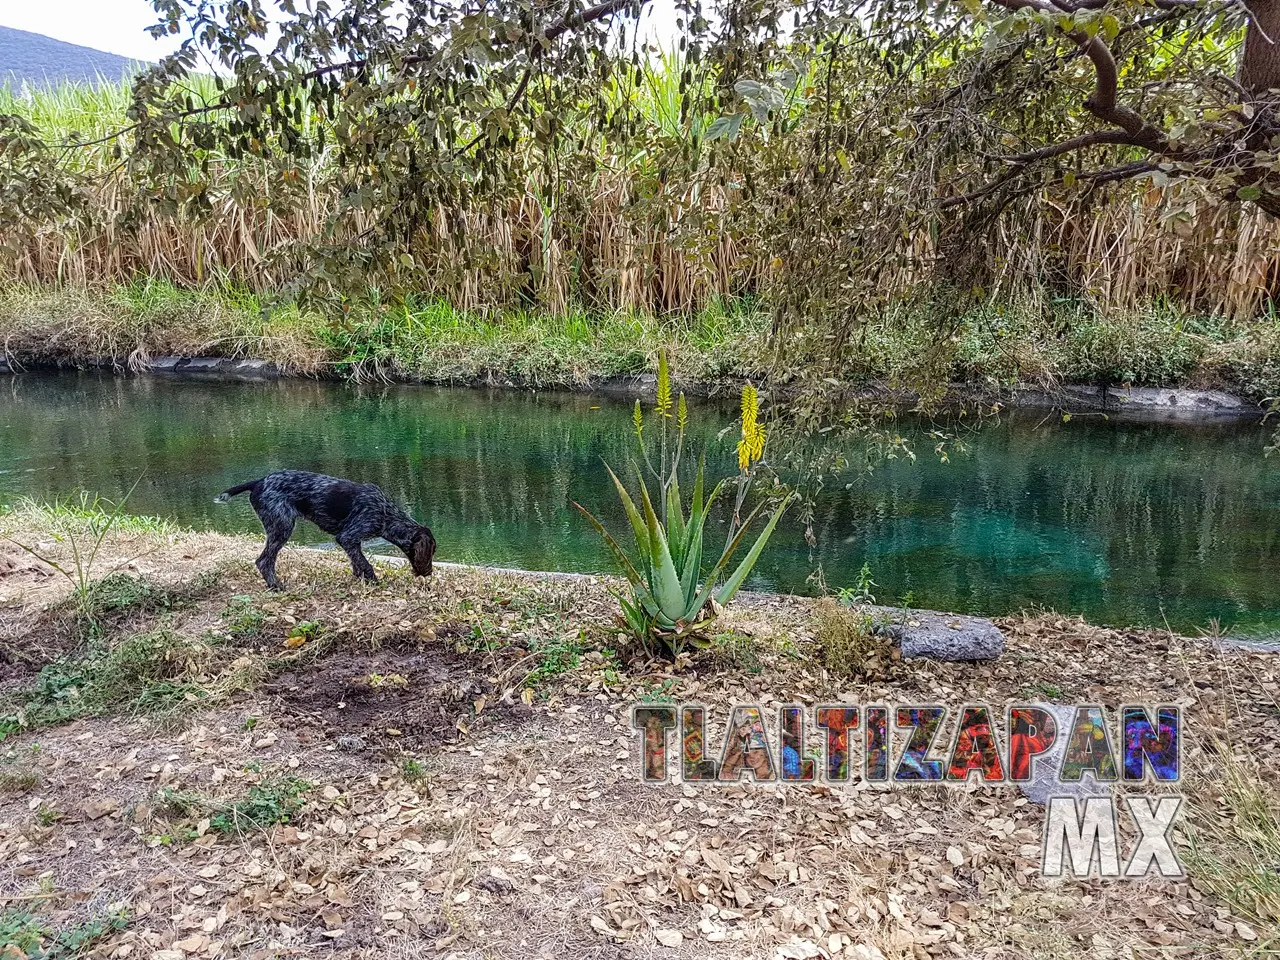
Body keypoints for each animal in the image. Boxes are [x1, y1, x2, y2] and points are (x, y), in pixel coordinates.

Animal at [217, 471, 437, 591]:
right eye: (432, 552)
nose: (429, 573)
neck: (386, 514)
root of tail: (258, 481)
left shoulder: (351, 541)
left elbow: (357, 561)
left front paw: (359, 578)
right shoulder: (348, 536)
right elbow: (366, 564)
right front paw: (374, 581)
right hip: (282, 526)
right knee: (264, 561)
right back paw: (276, 587)